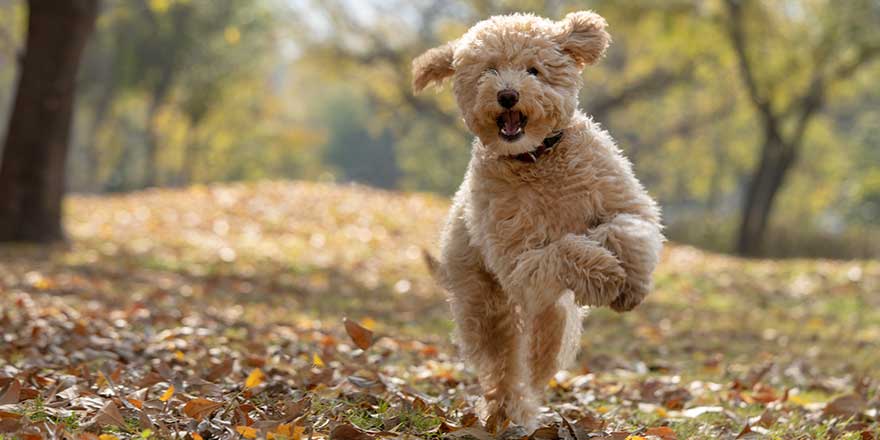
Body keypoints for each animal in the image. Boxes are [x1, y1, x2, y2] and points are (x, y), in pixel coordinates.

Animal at [416, 11, 664, 430]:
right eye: (489, 70)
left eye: (533, 70)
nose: (507, 95)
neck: (536, 158)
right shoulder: (518, 261)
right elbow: (564, 250)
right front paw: (606, 275)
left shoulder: (625, 202)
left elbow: (626, 229)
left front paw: (629, 284)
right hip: (486, 305)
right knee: (504, 364)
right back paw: (508, 409)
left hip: (548, 316)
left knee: (540, 350)